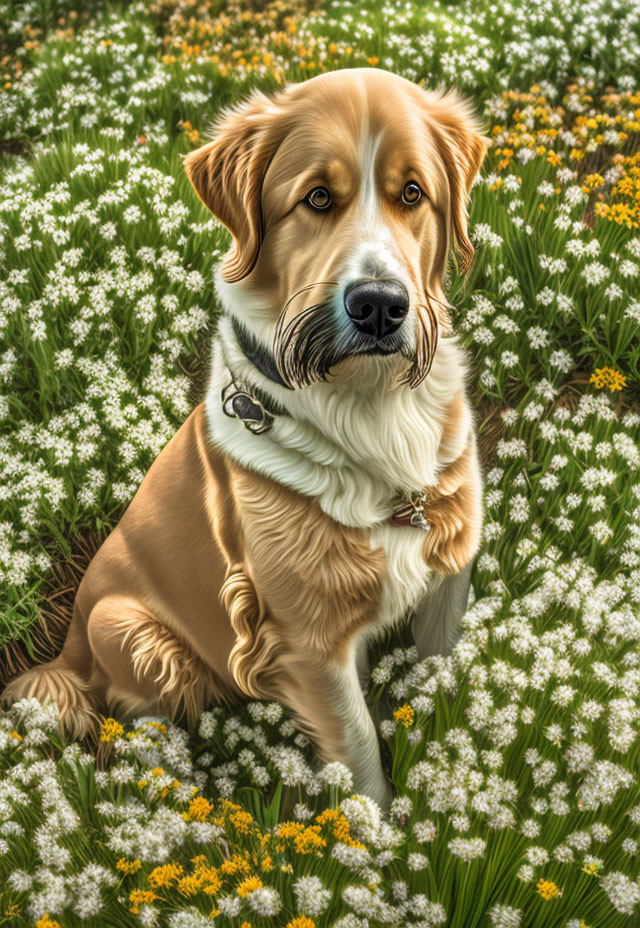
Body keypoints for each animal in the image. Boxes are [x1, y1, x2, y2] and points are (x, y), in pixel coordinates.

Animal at [2, 65, 488, 808]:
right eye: (316, 198)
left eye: (413, 193)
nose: (379, 306)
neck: (368, 406)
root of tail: (68, 649)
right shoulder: (310, 644)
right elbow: (360, 756)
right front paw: (378, 836)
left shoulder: (448, 574)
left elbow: (436, 678)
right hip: (124, 624)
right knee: (133, 712)